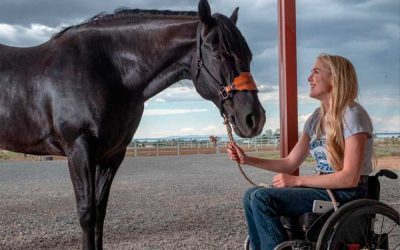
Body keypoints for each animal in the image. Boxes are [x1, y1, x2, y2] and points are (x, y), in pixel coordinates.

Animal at [0, 0, 266, 249]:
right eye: (218, 54)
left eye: (250, 55)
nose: (254, 118)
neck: (106, 69)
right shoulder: (79, 149)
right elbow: (87, 214)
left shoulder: (112, 155)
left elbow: (100, 212)